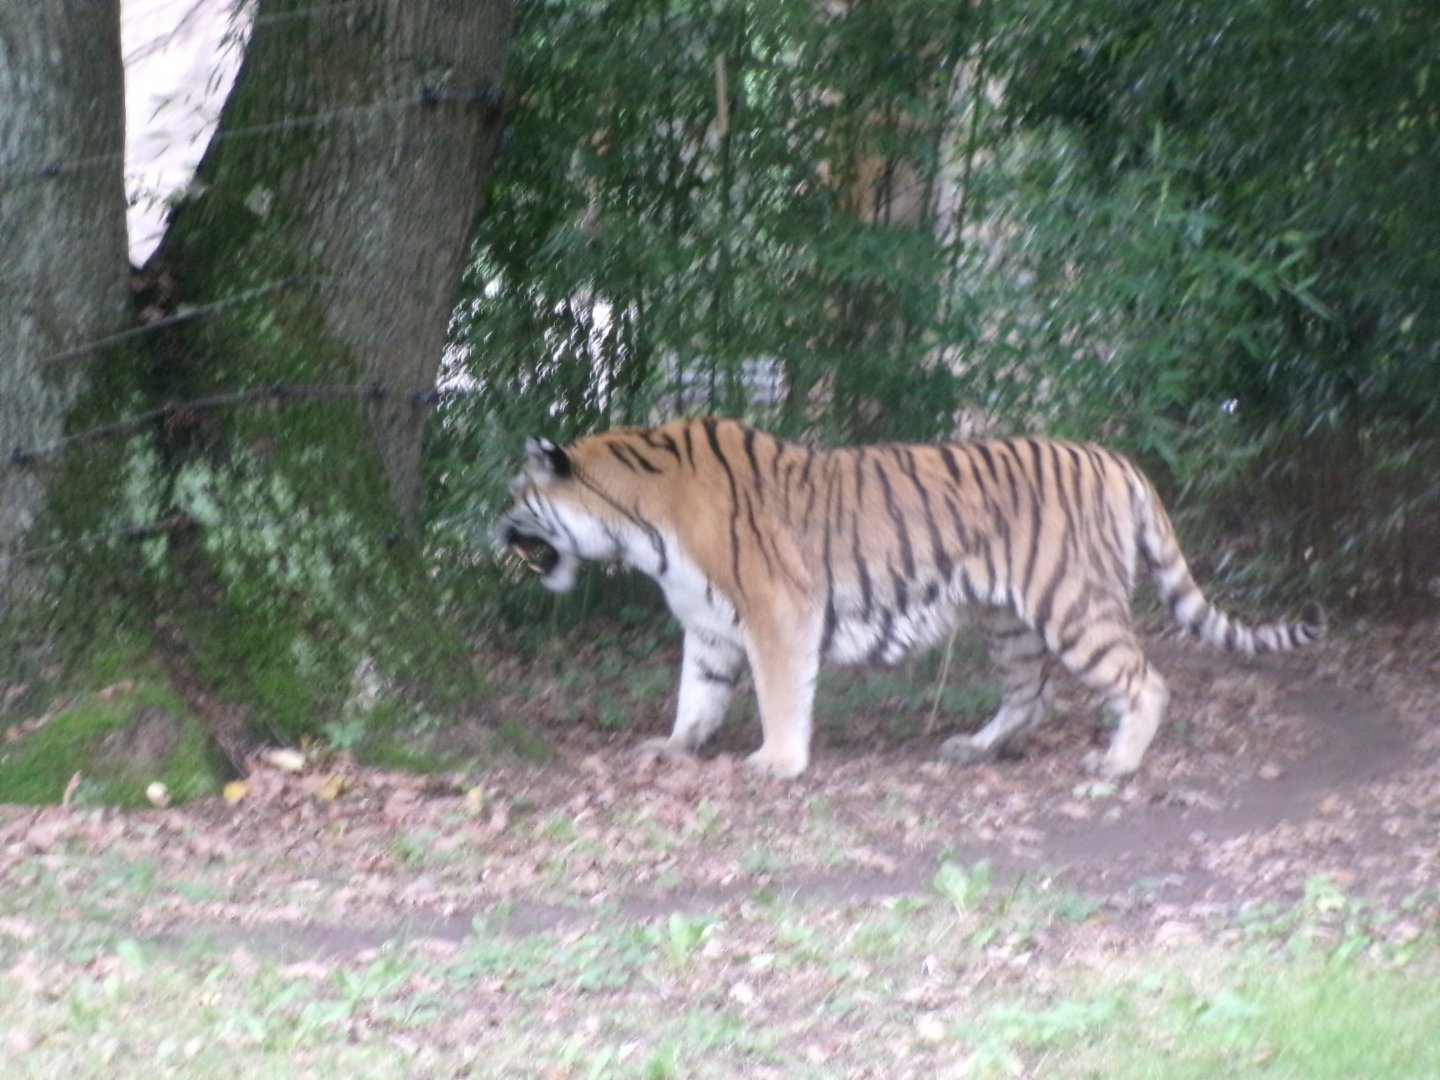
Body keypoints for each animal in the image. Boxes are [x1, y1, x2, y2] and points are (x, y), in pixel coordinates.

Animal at [497, 417, 1324, 780]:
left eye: (516, 496)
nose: (490, 529)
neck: (637, 526)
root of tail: (1118, 460)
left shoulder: (778, 609)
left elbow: (778, 693)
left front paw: (778, 761)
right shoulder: (709, 626)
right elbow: (696, 695)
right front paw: (673, 748)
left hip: (1073, 606)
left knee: (1145, 680)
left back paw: (1116, 764)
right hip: (1009, 622)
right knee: (1031, 697)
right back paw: (977, 748)